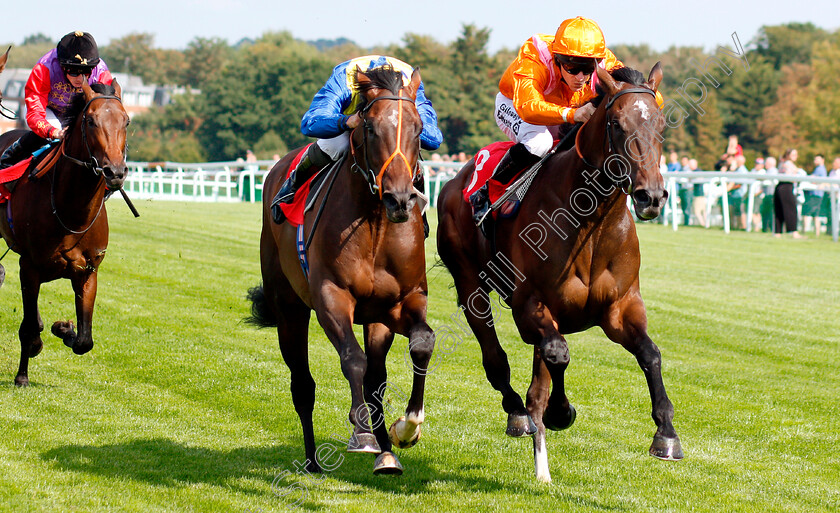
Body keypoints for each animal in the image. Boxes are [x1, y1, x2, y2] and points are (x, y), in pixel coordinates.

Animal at [0, 79, 129, 384]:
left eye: (126, 121)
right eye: (91, 121)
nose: (115, 172)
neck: (71, 212)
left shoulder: (88, 271)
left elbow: (84, 340)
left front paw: (62, 328)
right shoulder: (30, 266)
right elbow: (29, 328)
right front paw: (22, 375)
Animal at [248, 65, 434, 476]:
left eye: (417, 128)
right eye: (371, 128)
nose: (400, 199)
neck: (376, 225)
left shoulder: (401, 301)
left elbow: (420, 345)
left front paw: (406, 429)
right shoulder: (331, 298)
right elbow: (353, 360)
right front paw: (363, 433)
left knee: (377, 377)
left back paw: (386, 453)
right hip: (289, 308)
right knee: (303, 383)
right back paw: (313, 460)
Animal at [436, 63, 684, 480]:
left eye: (661, 123)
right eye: (616, 124)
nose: (651, 196)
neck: (591, 223)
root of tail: (457, 179)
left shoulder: (620, 307)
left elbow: (650, 354)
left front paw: (666, 434)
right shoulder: (529, 305)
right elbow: (558, 355)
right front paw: (560, 412)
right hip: (471, 286)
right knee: (497, 361)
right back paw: (520, 417)